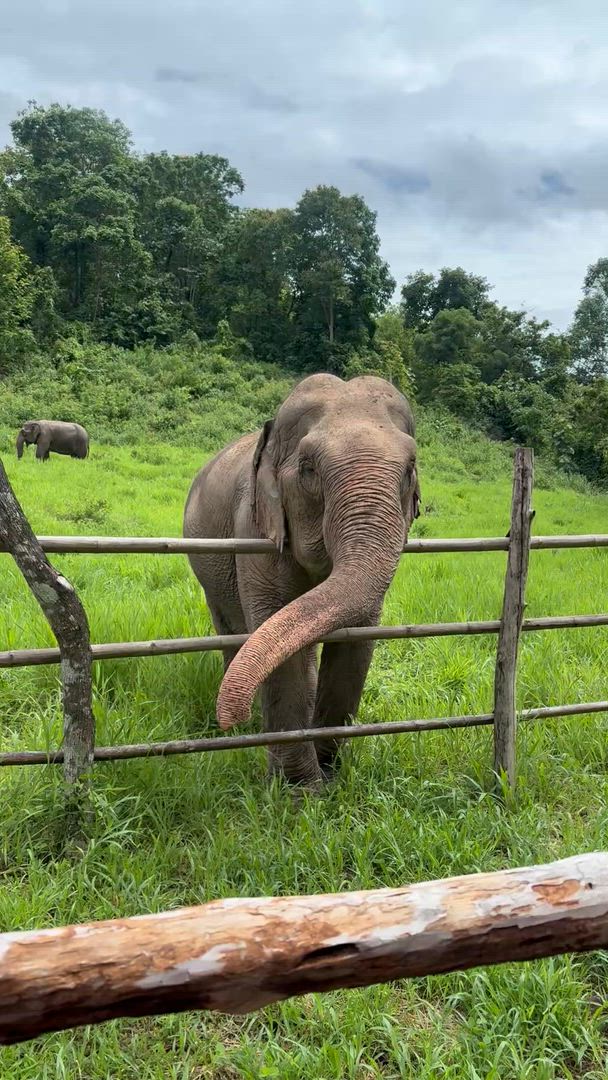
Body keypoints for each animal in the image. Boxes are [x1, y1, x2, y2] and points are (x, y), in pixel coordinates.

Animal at [183, 373, 420, 787]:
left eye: (410, 468)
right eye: (308, 468)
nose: (229, 717)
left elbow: (357, 641)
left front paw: (330, 774)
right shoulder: (254, 527)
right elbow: (276, 625)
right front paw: (301, 791)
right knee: (230, 627)